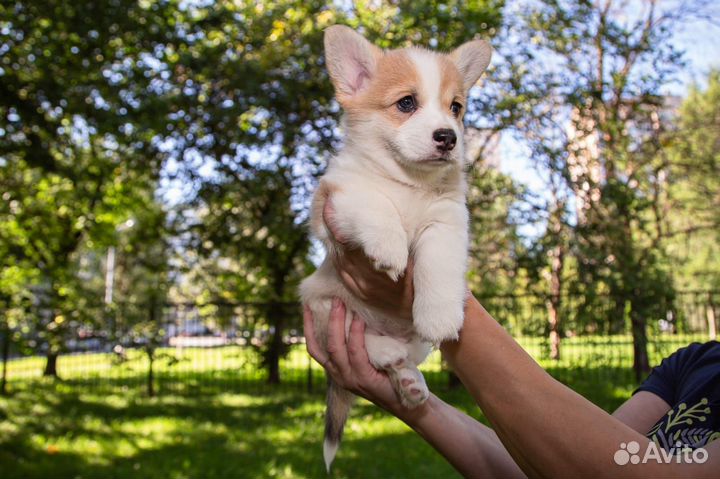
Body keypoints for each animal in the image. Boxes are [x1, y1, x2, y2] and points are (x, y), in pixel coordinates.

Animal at [300, 25, 496, 472]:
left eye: (456, 107)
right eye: (406, 103)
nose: (448, 137)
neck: (409, 182)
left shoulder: (446, 222)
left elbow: (438, 266)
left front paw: (440, 315)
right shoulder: (334, 199)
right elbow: (375, 202)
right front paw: (390, 248)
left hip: (413, 344)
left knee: (405, 358)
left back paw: (410, 382)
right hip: (321, 303)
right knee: (361, 339)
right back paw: (386, 351)